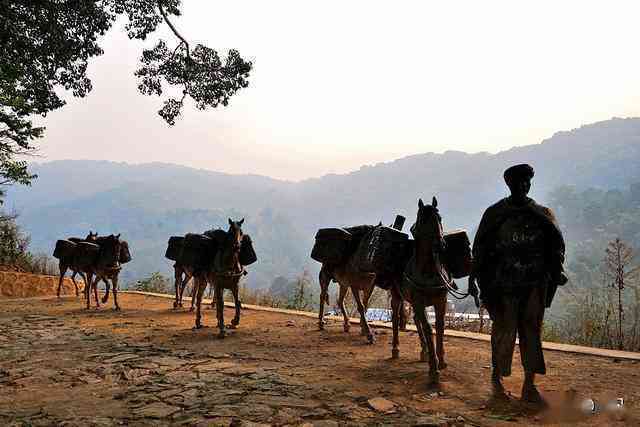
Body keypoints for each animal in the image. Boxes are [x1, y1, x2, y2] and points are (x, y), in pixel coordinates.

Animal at [390, 199, 450, 386]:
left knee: (416, 320)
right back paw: (396, 348)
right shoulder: (418, 301)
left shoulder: (440, 301)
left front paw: (441, 359)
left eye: (439, 218)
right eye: (423, 220)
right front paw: (434, 369)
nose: (440, 245)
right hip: (398, 296)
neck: (429, 271)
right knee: (396, 319)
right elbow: (429, 328)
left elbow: (440, 326)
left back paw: (424, 351)